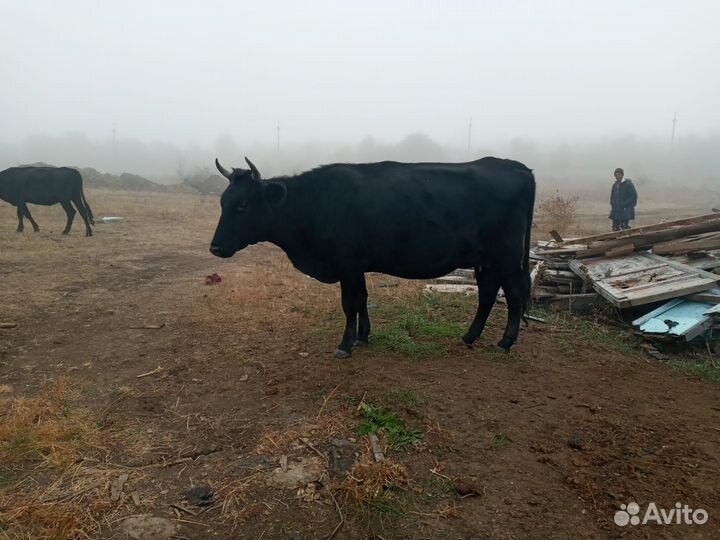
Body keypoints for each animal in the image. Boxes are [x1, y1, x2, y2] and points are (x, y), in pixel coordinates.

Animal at [210, 157, 535, 358]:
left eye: (243, 204)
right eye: (222, 202)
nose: (215, 248)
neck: (316, 203)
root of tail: (515, 166)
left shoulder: (347, 264)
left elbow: (349, 303)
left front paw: (345, 344)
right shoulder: (357, 266)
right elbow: (363, 299)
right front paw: (363, 336)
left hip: (506, 255)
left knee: (514, 293)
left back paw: (505, 342)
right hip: (486, 260)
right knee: (488, 293)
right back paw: (470, 336)